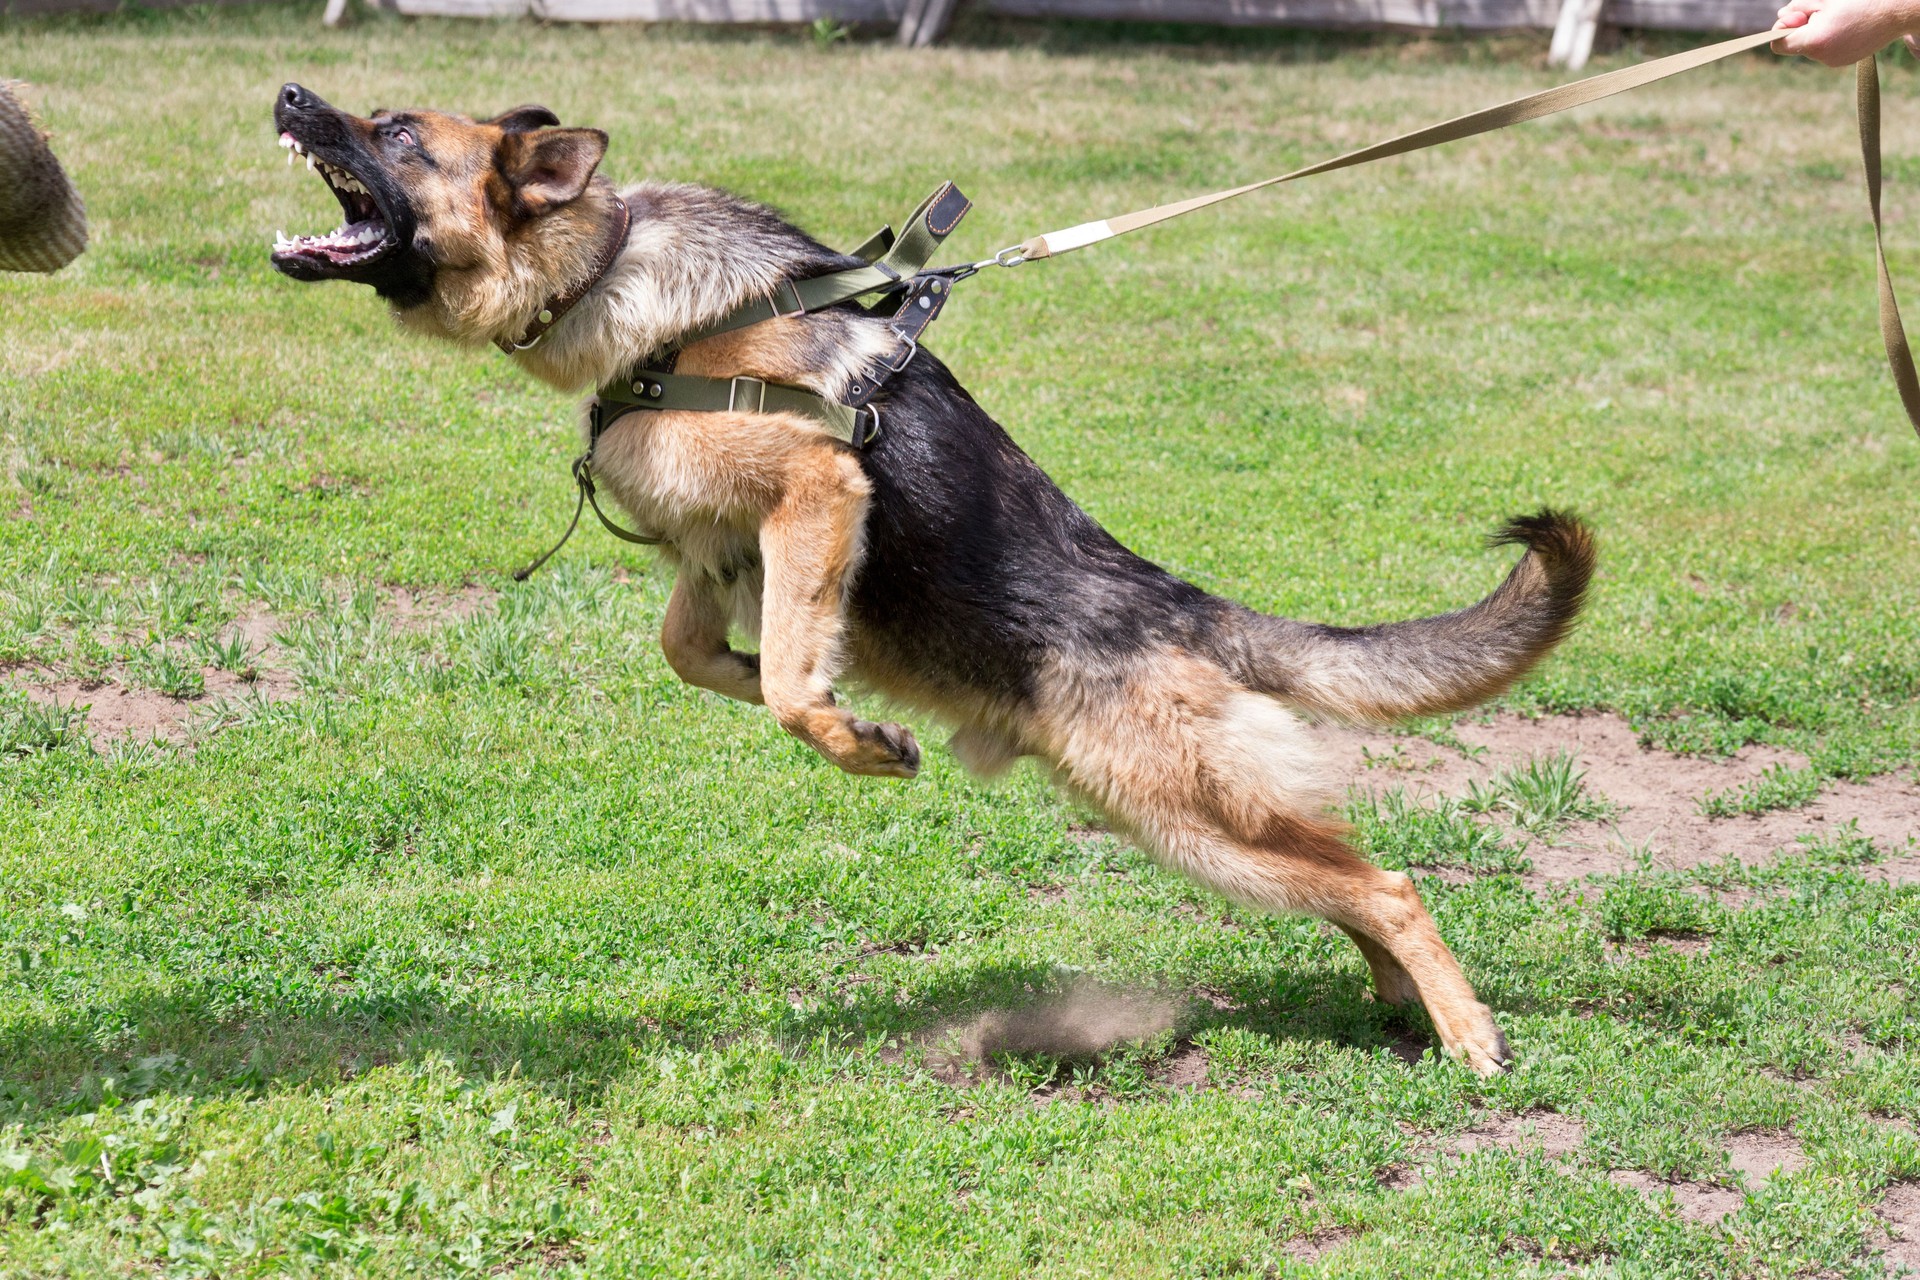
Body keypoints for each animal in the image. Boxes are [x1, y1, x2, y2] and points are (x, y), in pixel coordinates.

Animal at [270, 84, 1589, 1074]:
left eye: (399, 134)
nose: (289, 94)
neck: (610, 273)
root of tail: (1182, 605)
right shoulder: (720, 548)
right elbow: (702, 654)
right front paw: (845, 705)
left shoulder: (816, 490)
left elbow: (791, 679)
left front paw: (855, 734)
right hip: (1182, 817)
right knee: (1349, 880)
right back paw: (1396, 1000)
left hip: (1185, 813)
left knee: (1393, 882)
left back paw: (1468, 1037)